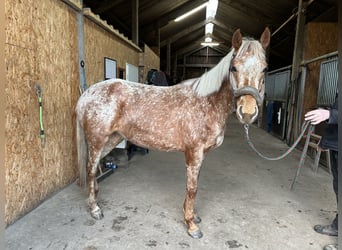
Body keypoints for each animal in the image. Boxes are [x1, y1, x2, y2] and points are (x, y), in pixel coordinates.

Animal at [76, 27, 272, 238]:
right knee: (90, 167)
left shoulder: (200, 154)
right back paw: (94, 208)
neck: (207, 103)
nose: (248, 113)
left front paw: (192, 215)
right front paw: (191, 225)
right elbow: (193, 188)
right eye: (234, 68)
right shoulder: (194, 153)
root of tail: (87, 94)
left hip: (112, 139)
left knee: (94, 167)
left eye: (264, 69)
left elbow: (193, 186)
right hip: (97, 140)